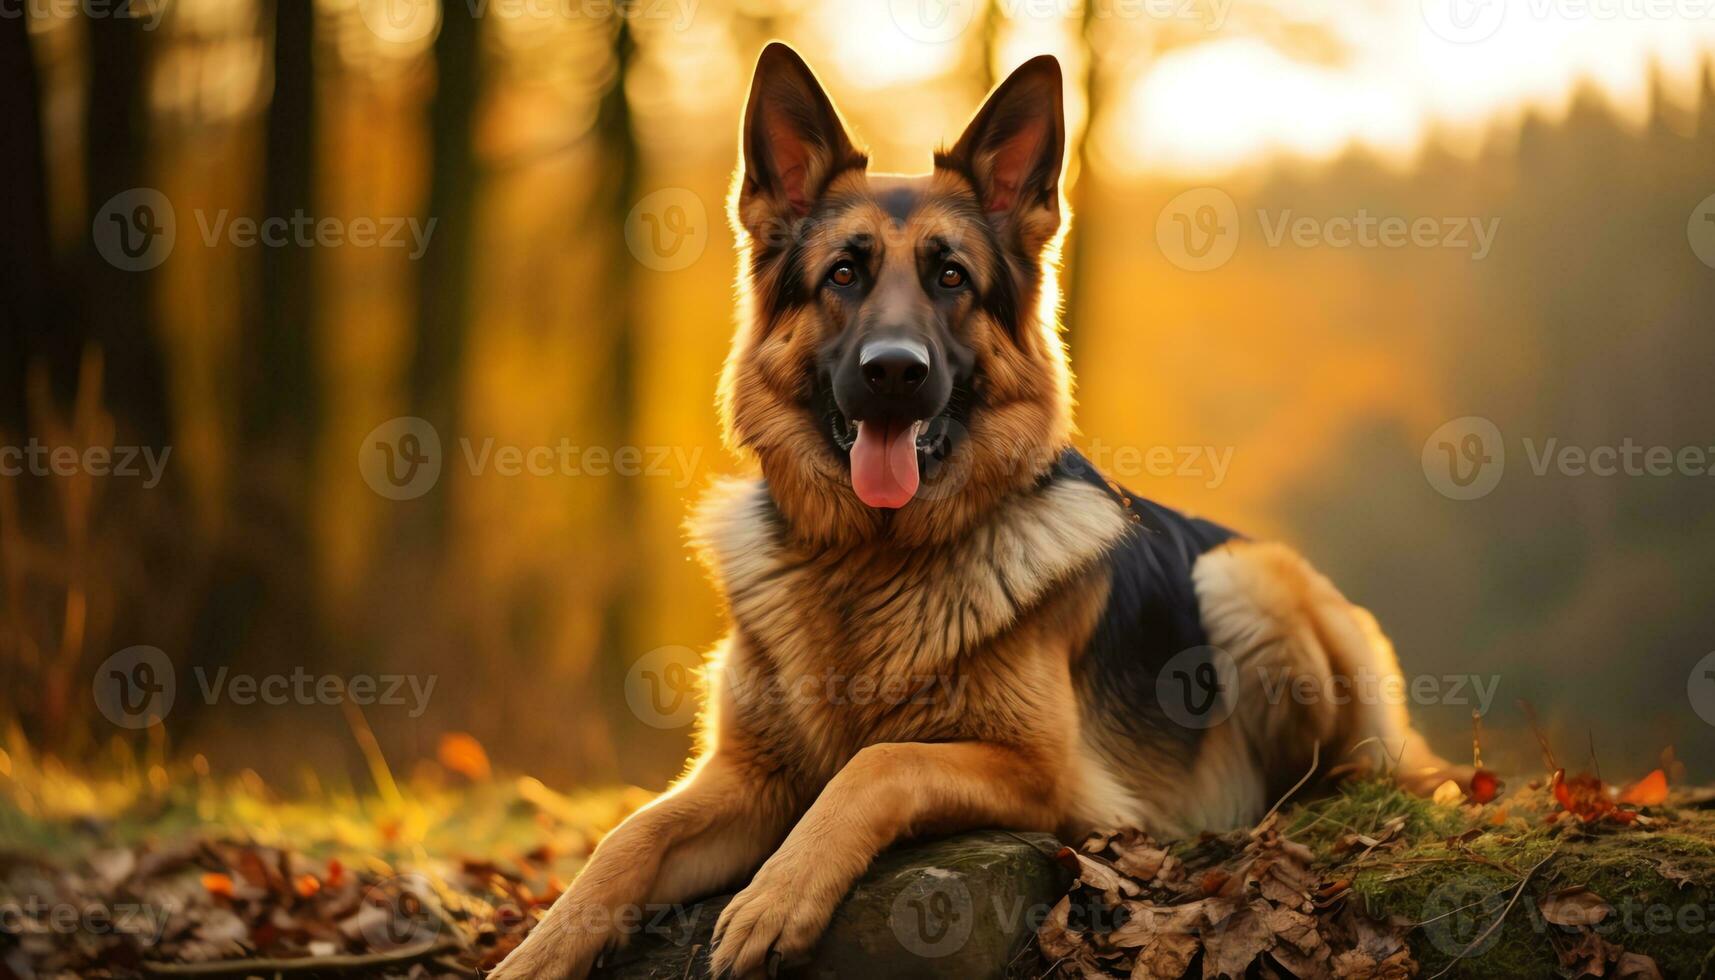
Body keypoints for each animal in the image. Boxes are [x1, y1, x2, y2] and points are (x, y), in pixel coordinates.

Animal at [490, 42, 1468, 974]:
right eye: (842, 274)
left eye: (951, 277)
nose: (893, 372)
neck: (869, 563)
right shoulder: (749, 778)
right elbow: (628, 836)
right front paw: (537, 953)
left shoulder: (1045, 780)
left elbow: (875, 765)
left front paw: (778, 897)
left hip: (1242, 578)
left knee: (1329, 783)